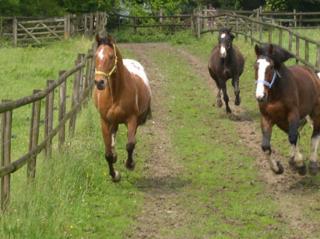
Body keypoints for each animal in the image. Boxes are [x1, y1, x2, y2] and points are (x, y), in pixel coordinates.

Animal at [93, 33, 152, 182]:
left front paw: (130, 164)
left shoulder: (132, 119)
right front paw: (115, 175)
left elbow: (130, 144)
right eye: (95, 56)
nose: (99, 82)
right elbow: (107, 154)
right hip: (112, 122)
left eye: (111, 56)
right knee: (113, 137)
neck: (116, 93)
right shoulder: (104, 121)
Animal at [255, 44, 320, 176]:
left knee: (315, 134)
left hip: (315, 112)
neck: (275, 95)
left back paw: (312, 164)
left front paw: (301, 165)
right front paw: (277, 168)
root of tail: (312, 73)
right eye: (256, 66)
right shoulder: (267, 118)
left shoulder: (293, 114)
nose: (260, 96)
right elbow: (265, 146)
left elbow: (293, 137)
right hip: (284, 122)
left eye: (270, 67)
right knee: (297, 134)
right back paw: (292, 160)